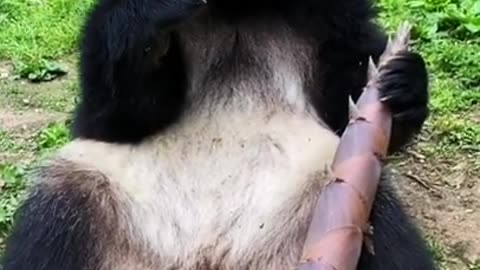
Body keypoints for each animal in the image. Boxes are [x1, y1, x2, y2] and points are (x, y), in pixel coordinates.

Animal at [0, 0, 436, 268]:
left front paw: (402, 82)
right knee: (50, 228)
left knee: (391, 237)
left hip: (328, 191)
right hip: (102, 195)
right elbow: (111, 114)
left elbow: (349, 83)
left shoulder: (331, 15)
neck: (238, 8)